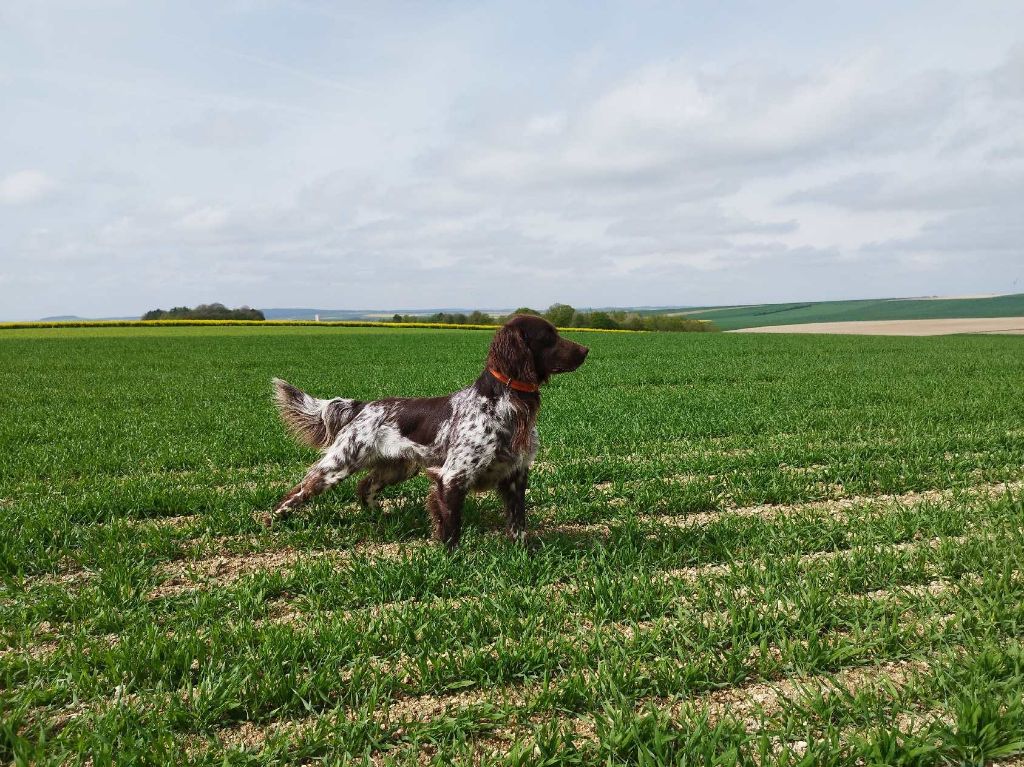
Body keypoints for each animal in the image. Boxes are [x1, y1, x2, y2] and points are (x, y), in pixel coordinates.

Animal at [260, 313, 589, 548]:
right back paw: (273, 520)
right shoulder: (452, 477)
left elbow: (518, 523)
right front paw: (451, 560)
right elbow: (450, 527)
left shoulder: (515, 475)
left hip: (399, 468)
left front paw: (522, 553)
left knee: (365, 486)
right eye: (549, 337)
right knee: (300, 489)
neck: (502, 404)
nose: (586, 349)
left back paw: (378, 515)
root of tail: (362, 405)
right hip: (339, 464)